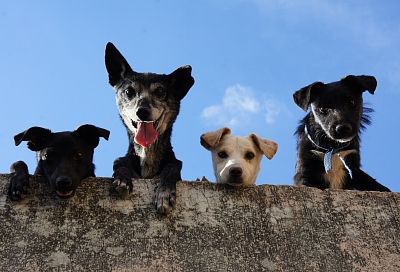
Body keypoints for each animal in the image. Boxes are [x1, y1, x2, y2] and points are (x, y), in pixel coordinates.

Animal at [104, 41, 195, 214]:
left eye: (160, 91)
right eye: (129, 91)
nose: (142, 111)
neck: (147, 154)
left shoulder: (174, 165)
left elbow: (173, 166)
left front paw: (164, 193)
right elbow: (120, 161)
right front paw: (123, 179)